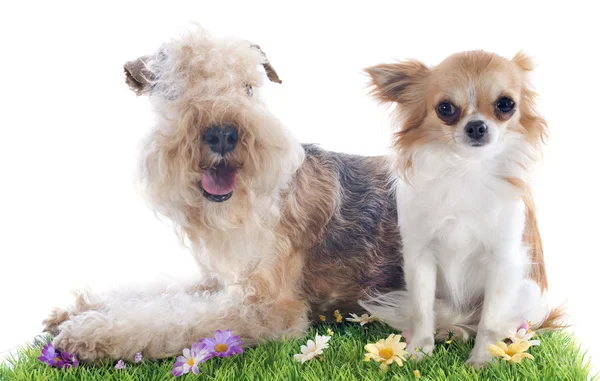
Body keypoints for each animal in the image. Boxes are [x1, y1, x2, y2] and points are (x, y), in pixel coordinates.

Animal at [360, 50, 564, 366]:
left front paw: (482, 361)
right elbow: (422, 311)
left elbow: (490, 320)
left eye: (506, 104)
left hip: (529, 294)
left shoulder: (504, 260)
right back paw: (450, 331)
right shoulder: (420, 256)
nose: (476, 126)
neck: (466, 168)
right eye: (445, 108)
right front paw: (418, 353)